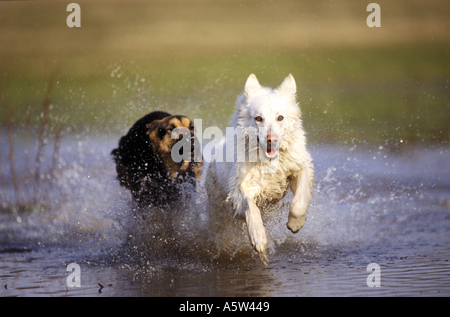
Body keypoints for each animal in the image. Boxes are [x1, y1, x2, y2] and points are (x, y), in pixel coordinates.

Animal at [207, 74, 314, 256]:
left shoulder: (300, 167)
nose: (272, 140)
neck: (269, 162)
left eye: (280, 117)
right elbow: (251, 208)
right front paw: (258, 237)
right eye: (258, 118)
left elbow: (299, 203)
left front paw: (295, 224)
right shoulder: (239, 187)